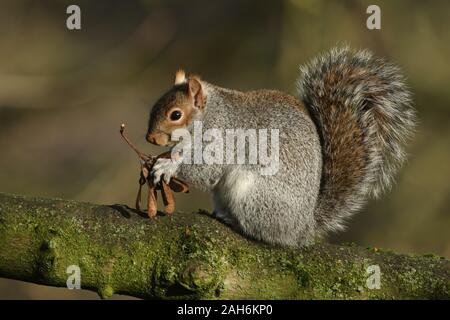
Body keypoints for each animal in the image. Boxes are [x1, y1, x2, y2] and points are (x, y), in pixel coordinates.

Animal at [146, 46, 416, 246]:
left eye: (176, 115)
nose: (150, 139)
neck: (211, 114)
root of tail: (303, 228)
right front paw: (164, 159)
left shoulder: (225, 139)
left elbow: (206, 170)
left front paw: (167, 166)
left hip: (253, 194)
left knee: (265, 233)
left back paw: (237, 224)